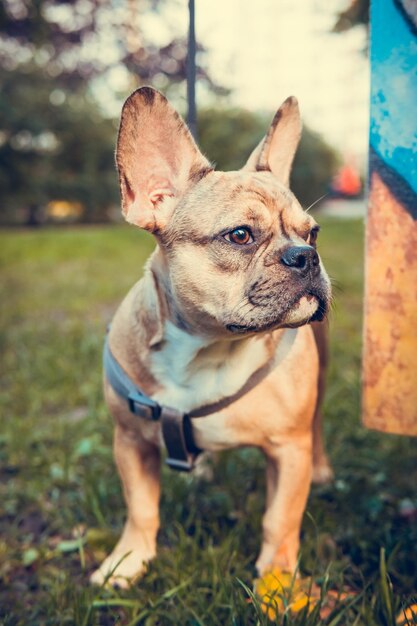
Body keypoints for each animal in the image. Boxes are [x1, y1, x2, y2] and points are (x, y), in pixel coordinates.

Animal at [90, 86, 332, 584]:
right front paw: (127, 561)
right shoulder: (130, 440)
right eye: (240, 235)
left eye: (313, 233)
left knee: (317, 424)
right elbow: (140, 508)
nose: (306, 255)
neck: (209, 349)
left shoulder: (288, 449)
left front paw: (277, 584)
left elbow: (280, 520)